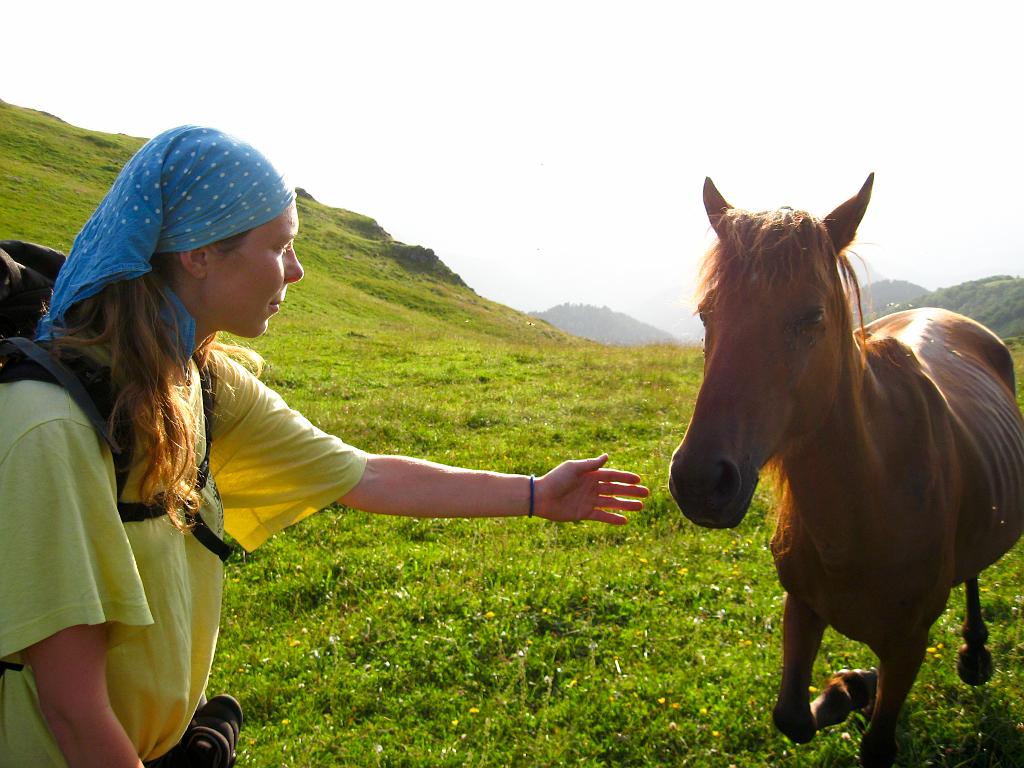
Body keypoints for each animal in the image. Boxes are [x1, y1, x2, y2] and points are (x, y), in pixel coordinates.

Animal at [667, 176, 1019, 768]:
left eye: (812, 316)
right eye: (705, 315)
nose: (699, 482)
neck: (870, 499)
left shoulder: (909, 641)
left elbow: (878, 745)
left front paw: (860, 689)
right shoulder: (802, 606)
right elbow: (791, 717)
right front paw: (850, 687)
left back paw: (974, 651)